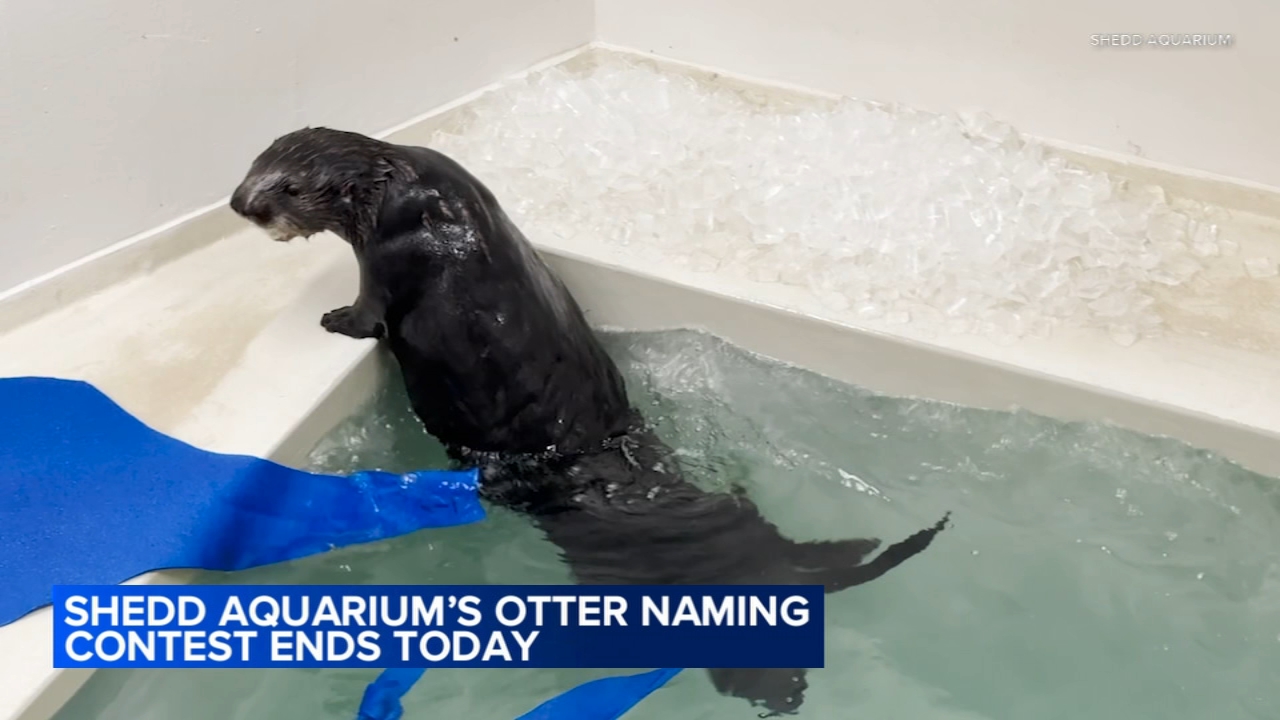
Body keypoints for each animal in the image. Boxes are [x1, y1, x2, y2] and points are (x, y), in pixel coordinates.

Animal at [230, 127, 951, 716]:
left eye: (286, 186)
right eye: (251, 165)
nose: (241, 204)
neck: (404, 187)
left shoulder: (386, 257)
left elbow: (368, 313)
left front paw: (332, 319)